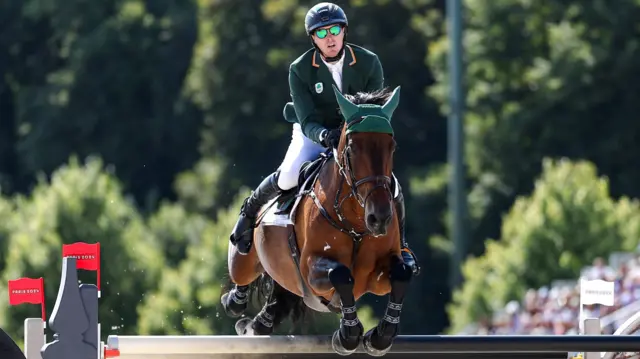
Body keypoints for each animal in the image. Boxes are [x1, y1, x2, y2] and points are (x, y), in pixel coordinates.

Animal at [221, 85, 410, 358]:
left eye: (392, 146)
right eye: (352, 148)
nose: (380, 218)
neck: (356, 224)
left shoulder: (376, 275)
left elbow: (402, 273)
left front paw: (379, 337)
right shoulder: (311, 269)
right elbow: (341, 275)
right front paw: (348, 335)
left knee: (276, 303)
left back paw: (257, 324)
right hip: (244, 262)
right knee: (243, 273)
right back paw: (235, 297)